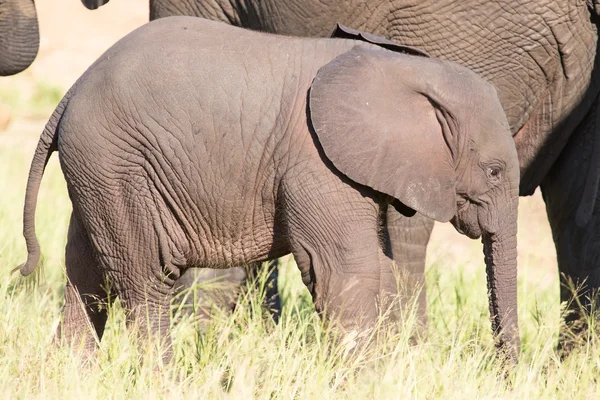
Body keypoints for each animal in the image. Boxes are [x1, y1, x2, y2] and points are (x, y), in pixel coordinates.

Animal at [19, 16, 520, 362]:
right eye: (494, 172)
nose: (502, 371)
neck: (409, 69)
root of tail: (71, 92)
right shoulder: (315, 163)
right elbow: (345, 272)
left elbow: (375, 268)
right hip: (116, 162)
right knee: (146, 280)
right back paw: (161, 378)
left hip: (100, 172)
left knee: (88, 276)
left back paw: (71, 374)